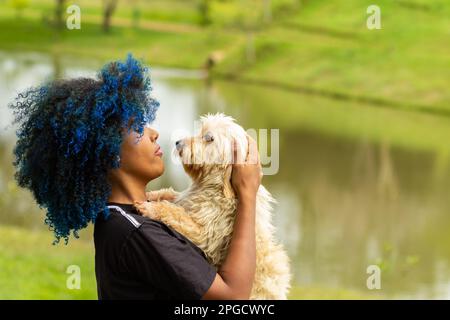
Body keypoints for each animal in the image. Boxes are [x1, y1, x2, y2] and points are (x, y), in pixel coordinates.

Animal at [133, 113, 292, 300]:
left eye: (209, 138)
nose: (178, 142)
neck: (214, 186)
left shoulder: (206, 234)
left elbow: (176, 213)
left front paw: (150, 208)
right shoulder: (186, 199)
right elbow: (172, 196)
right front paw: (151, 195)